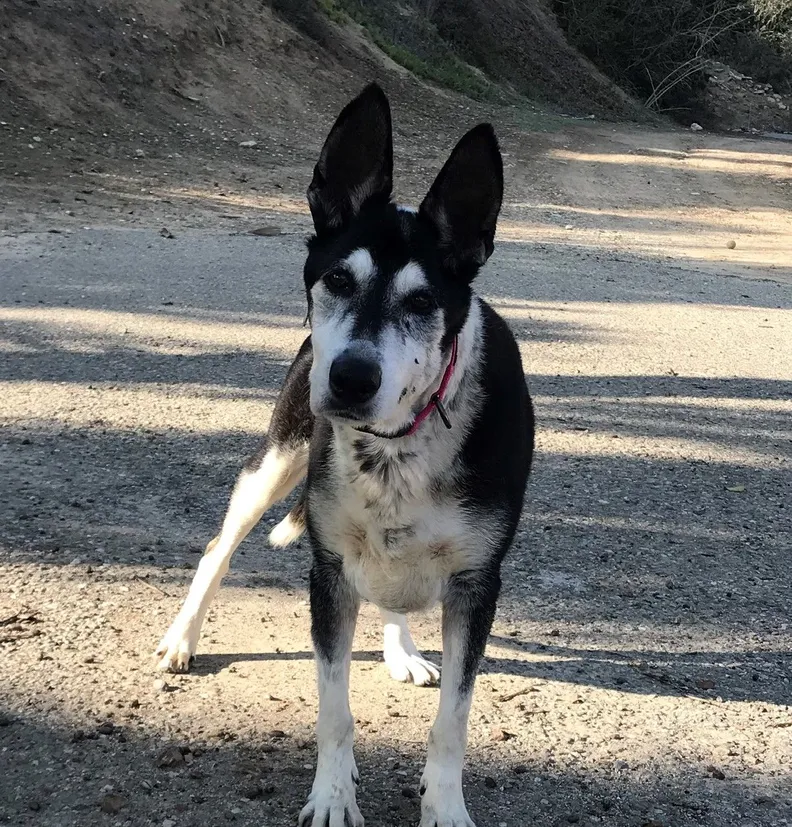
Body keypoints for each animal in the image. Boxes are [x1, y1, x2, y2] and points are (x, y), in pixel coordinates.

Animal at [153, 84, 540, 827]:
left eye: (423, 300)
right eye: (336, 278)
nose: (351, 378)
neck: (395, 444)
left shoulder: (477, 583)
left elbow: (453, 721)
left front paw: (444, 806)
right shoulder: (327, 575)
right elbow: (334, 710)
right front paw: (333, 796)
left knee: (391, 582)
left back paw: (403, 648)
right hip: (278, 459)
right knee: (218, 549)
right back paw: (182, 637)